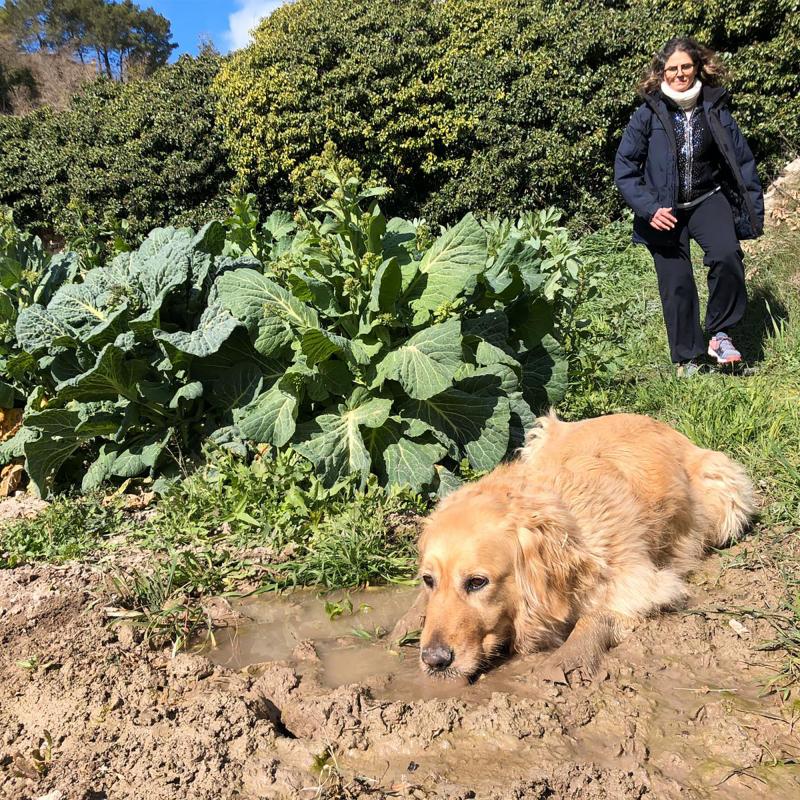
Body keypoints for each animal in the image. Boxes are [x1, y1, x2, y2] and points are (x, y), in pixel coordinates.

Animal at [410, 412, 752, 680]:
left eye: (477, 582)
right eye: (429, 579)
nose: (434, 661)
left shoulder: (644, 584)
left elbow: (595, 616)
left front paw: (564, 661)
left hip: (722, 489)